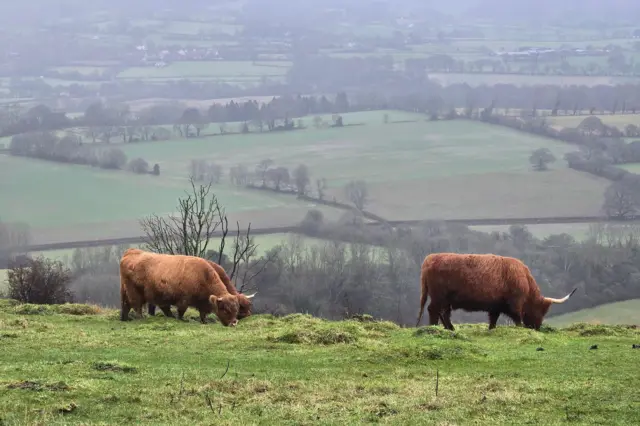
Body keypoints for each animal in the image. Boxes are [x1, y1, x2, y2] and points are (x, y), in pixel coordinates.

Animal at [415, 253, 577, 331]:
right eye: (542, 311)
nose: (536, 327)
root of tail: (430, 258)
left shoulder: (496, 306)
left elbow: (493, 320)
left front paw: (491, 329)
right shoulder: (515, 303)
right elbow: (517, 318)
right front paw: (520, 329)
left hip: (445, 299)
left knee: (444, 313)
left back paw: (450, 328)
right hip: (439, 296)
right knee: (433, 310)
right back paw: (435, 328)